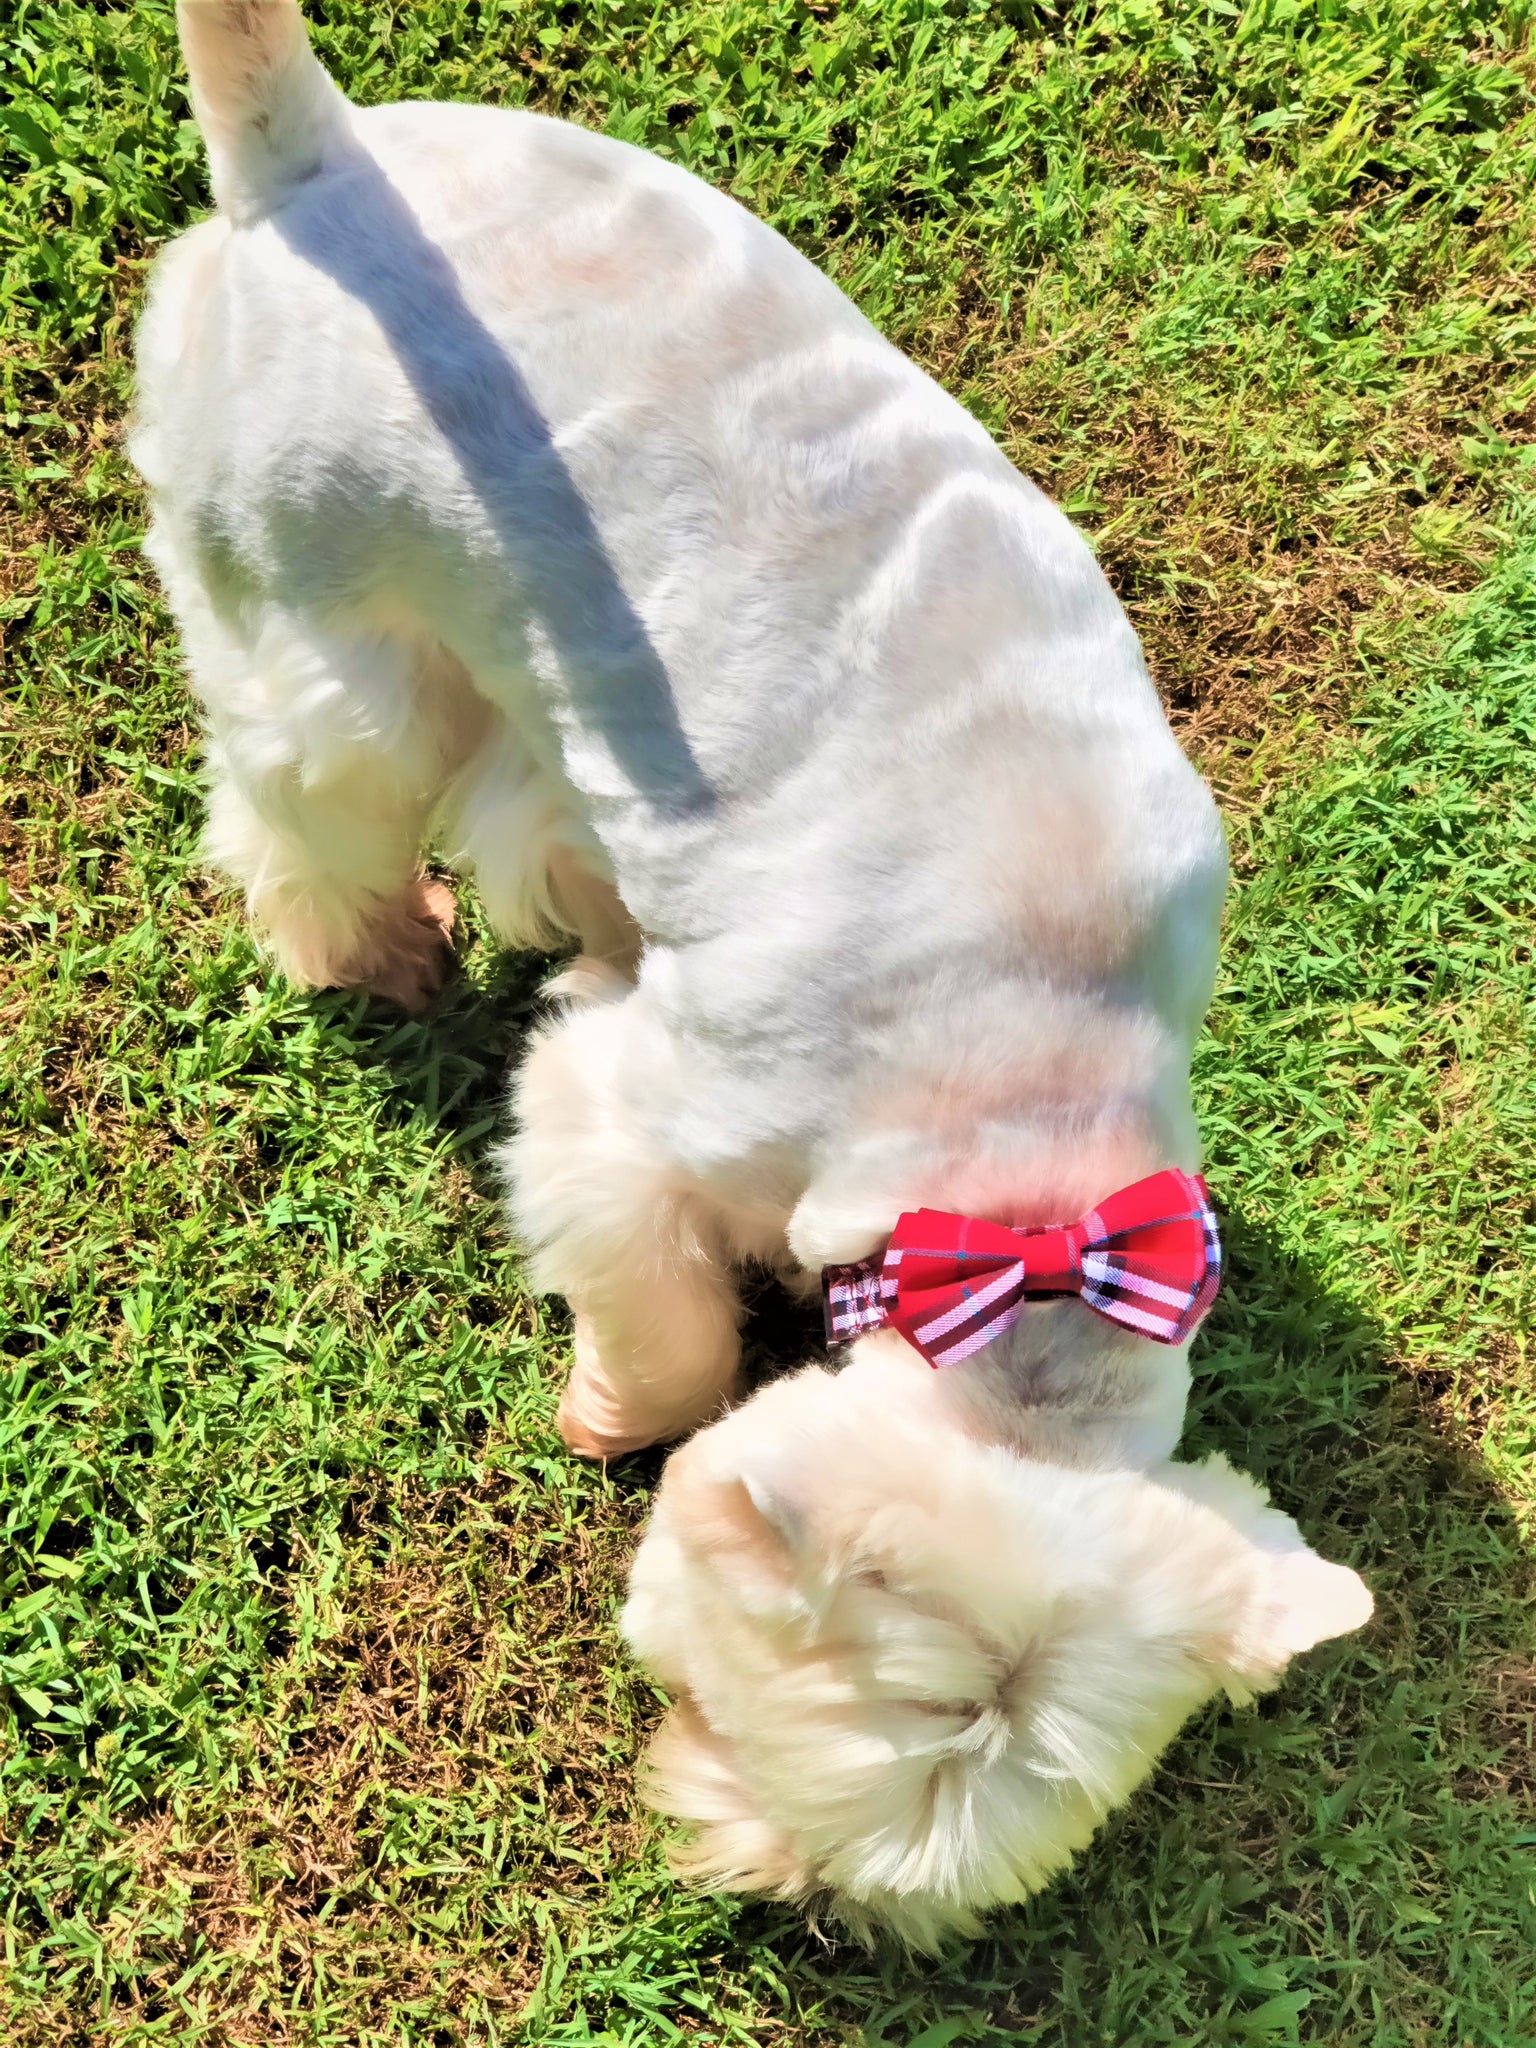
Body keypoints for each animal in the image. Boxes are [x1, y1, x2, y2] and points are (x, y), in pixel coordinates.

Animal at [135, 0, 1368, 1949]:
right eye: (729, 1717)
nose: (775, 1899)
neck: (1026, 1144)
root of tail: (314, 160)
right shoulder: (630, 1110)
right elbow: (667, 1315)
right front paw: (622, 1406)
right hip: (318, 627)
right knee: (307, 807)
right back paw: (369, 944)